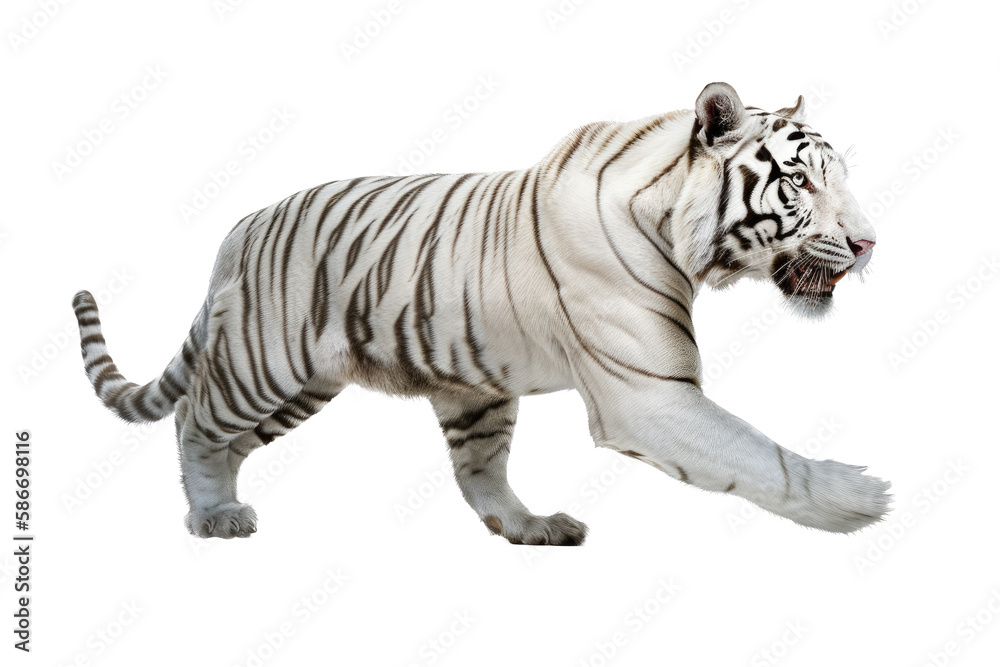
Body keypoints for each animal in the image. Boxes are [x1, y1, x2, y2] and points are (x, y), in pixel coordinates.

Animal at [74, 82, 890, 545]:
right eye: (799, 182)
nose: (868, 243)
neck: (670, 222)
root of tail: (242, 226)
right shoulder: (648, 395)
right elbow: (761, 455)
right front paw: (859, 499)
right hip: (263, 364)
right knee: (196, 421)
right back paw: (212, 516)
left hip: (424, 391)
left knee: (476, 474)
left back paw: (531, 526)